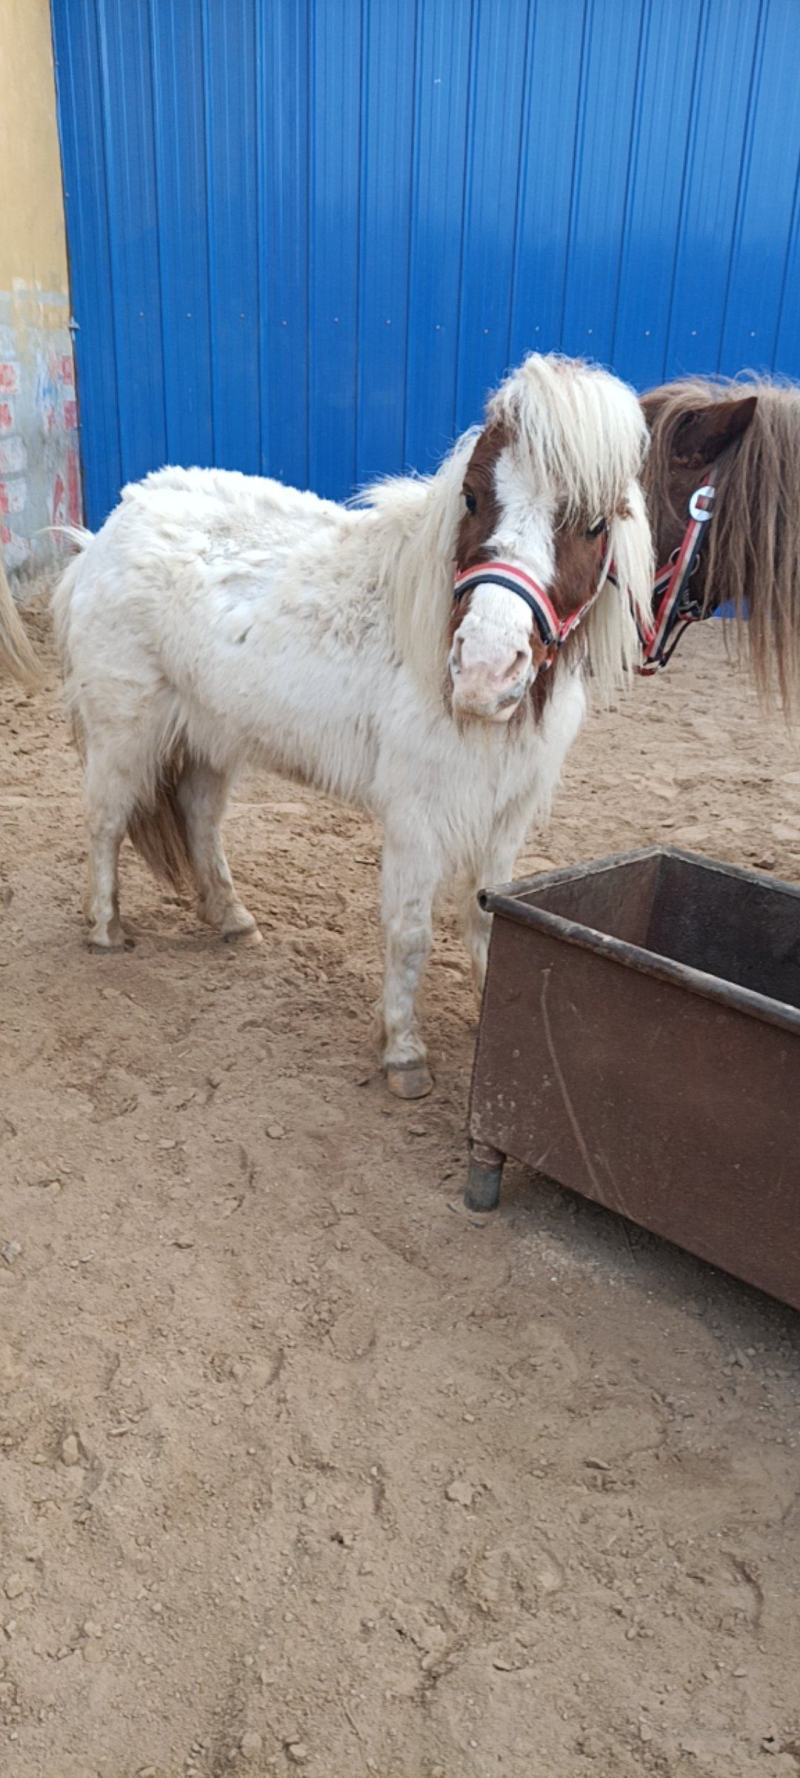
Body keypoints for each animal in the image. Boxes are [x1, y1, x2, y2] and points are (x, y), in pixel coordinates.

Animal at [54, 352, 652, 1097]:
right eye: (473, 498)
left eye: (595, 523)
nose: (485, 671)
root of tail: (107, 530)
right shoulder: (418, 819)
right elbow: (410, 932)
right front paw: (403, 1053)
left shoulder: (506, 815)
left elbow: (487, 915)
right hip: (126, 732)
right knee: (106, 821)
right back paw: (105, 928)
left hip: (212, 737)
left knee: (198, 818)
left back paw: (232, 918)